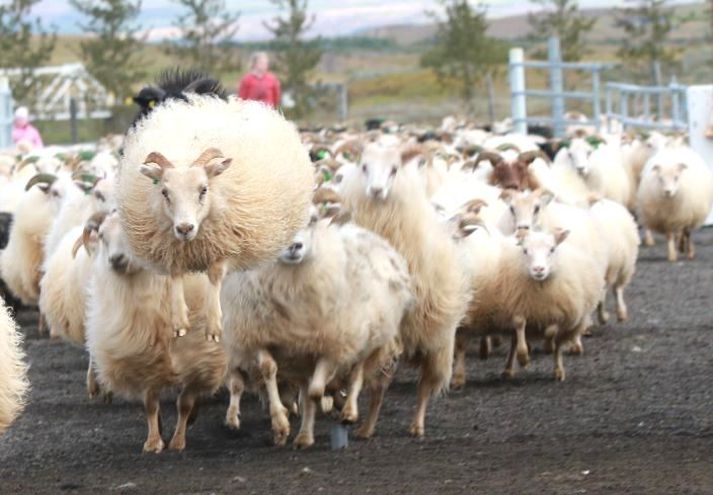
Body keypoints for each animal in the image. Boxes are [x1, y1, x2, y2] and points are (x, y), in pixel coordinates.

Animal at [85, 213, 227, 454]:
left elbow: (185, 402)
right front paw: (153, 441)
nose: (116, 259)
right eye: (102, 235)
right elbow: (150, 404)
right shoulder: (144, 355)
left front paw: (178, 441)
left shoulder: (197, 354)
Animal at [116, 93, 312, 342]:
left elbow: (214, 276)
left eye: (203, 190)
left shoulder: (227, 245)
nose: (184, 228)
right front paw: (179, 321)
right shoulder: (170, 247)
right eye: (164, 192)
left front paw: (213, 327)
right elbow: (175, 273)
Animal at [221, 207, 412, 448]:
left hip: (365, 337)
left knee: (356, 373)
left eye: (312, 220)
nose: (295, 246)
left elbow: (315, 392)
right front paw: (280, 424)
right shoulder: (258, 337)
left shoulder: (330, 343)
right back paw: (304, 435)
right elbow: (269, 370)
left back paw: (348, 412)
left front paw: (332, 405)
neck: (291, 283)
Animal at [340, 140, 472, 438]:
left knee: (424, 386)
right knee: (380, 387)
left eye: (394, 169)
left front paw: (348, 410)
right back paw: (367, 427)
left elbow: (359, 371)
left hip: (436, 342)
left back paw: (416, 425)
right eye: (364, 166)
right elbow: (359, 371)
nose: (376, 190)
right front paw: (349, 409)